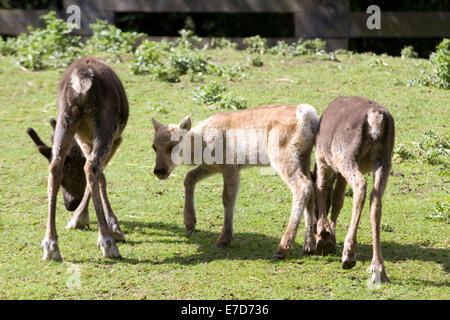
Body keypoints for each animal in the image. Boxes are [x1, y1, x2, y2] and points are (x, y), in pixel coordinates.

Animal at [27, 57, 128, 262]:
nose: (70, 204)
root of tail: (81, 80)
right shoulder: (116, 139)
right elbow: (101, 176)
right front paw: (112, 227)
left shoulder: (81, 138)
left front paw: (79, 217)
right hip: (106, 125)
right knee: (92, 167)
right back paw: (107, 242)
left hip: (66, 119)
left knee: (55, 166)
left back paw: (50, 244)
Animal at [151, 105, 320, 258]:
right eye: (153, 146)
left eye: (174, 144)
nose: (159, 171)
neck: (202, 144)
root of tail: (308, 115)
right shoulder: (212, 166)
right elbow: (189, 177)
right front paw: (189, 225)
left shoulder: (230, 166)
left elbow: (228, 198)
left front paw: (223, 240)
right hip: (304, 156)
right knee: (311, 184)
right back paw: (309, 245)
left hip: (283, 154)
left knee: (302, 186)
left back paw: (283, 248)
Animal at [312, 95, 394, 282]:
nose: (312, 227)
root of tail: (375, 117)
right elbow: (337, 199)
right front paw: (330, 235)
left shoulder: (322, 157)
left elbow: (321, 188)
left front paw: (324, 236)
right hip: (385, 158)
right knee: (376, 198)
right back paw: (378, 268)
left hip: (344, 154)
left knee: (360, 185)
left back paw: (349, 254)